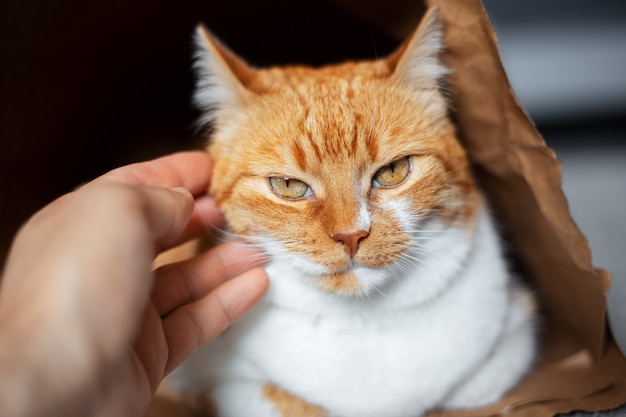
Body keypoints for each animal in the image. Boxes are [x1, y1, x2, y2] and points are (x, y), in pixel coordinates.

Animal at [167, 7, 536, 416]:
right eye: (288, 185)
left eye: (393, 171)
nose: (351, 235)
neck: (362, 321)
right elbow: (276, 400)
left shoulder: (515, 325)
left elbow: (469, 388)